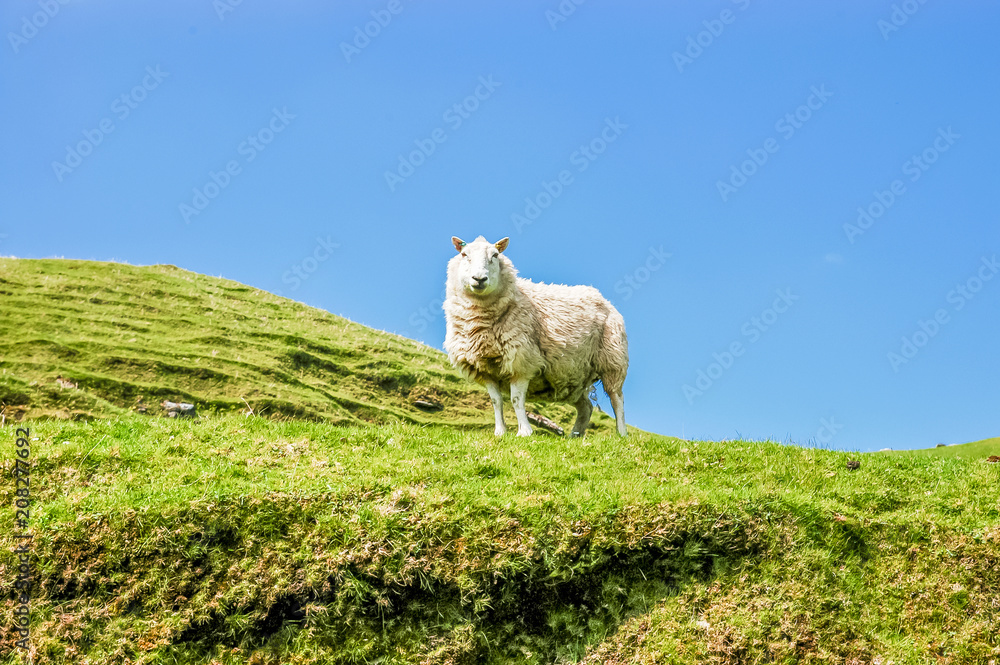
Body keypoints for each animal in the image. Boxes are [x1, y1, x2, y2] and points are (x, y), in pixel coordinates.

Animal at [443, 235, 629, 437]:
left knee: (617, 399)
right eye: (464, 254)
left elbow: (516, 400)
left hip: (612, 360)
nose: (479, 279)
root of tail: (603, 298)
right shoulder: (485, 369)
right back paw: (575, 436)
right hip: (573, 376)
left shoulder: (521, 362)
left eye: (495, 255)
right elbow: (496, 401)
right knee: (586, 407)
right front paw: (500, 432)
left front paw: (524, 431)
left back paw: (621, 433)